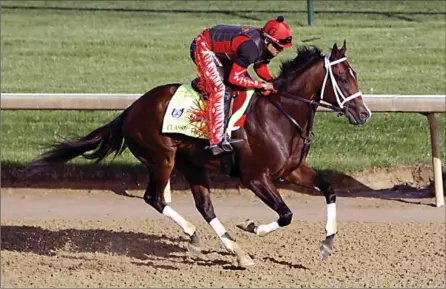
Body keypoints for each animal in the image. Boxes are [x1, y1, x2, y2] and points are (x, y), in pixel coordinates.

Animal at [26, 40, 372, 266]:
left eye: (355, 75)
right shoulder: (255, 177)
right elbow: (286, 215)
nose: (363, 114)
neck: (280, 113)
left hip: (192, 164)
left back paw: (237, 252)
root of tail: (130, 110)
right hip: (161, 158)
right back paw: (195, 235)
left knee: (204, 206)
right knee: (155, 198)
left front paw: (327, 244)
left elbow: (329, 189)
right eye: (343, 78)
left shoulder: (292, 170)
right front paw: (252, 226)